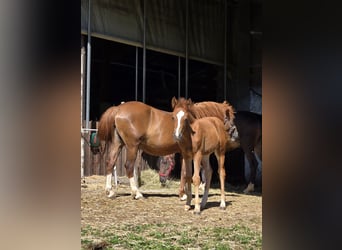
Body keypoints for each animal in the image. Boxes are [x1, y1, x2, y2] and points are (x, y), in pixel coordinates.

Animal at [96, 98, 235, 200]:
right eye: (231, 119)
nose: (234, 132)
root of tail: (118, 109)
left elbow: (186, 172)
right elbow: (186, 172)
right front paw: (183, 195)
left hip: (117, 144)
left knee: (110, 162)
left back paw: (110, 191)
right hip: (132, 146)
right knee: (129, 166)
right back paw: (137, 193)